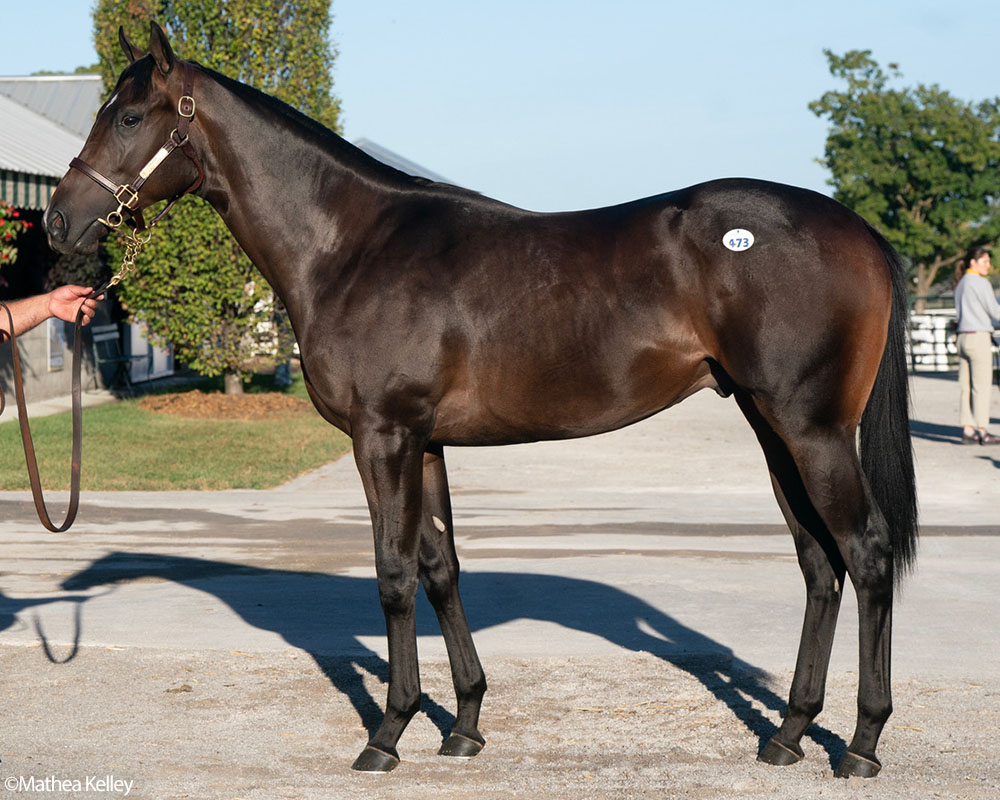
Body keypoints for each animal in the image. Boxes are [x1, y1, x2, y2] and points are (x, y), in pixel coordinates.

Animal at [43, 21, 916, 780]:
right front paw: (463, 724)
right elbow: (441, 569)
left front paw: (388, 732)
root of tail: (859, 232)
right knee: (819, 565)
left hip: (811, 430)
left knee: (866, 554)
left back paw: (863, 745)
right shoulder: (425, 442)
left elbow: (393, 572)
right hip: (773, 429)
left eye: (128, 116)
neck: (350, 245)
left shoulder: (383, 437)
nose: (57, 221)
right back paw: (788, 733)